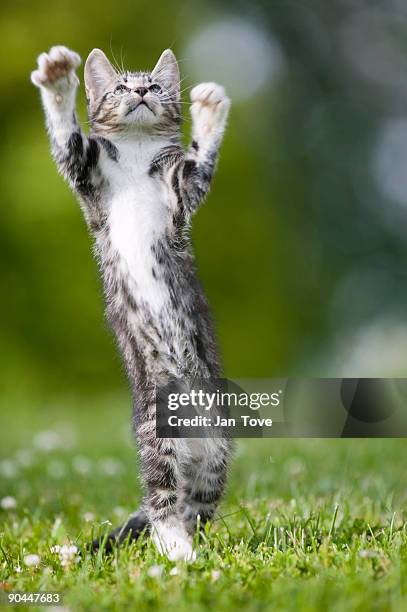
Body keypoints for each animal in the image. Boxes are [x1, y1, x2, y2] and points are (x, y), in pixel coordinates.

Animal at [31, 44, 233, 560]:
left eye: (157, 86)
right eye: (121, 86)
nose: (142, 91)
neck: (139, 152)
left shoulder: (181, 192)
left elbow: (198, 168)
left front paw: (209, 111)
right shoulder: (87, 175)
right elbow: (67, 139)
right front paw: (58, 79)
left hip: (217, 441)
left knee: (195, 500)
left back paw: (188, 547)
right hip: (156, 429)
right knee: (162, 497)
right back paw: (176, 548)